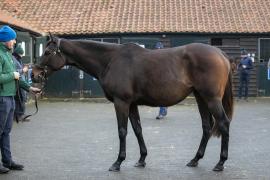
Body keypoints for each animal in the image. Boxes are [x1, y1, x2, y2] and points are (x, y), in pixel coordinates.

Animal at [32, 36, 234, 172]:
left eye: (47, 52)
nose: (34, 74)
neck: (110, 60)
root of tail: (220, 53)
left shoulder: (121, 102)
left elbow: (122, 131)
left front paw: (117, 162)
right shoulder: (132, 104)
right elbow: (137, 129)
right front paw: (142, 159)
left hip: (211, 98)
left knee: (223, 123)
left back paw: (220, 163)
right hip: (201, 98)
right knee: (207, 126)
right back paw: (195, 159)